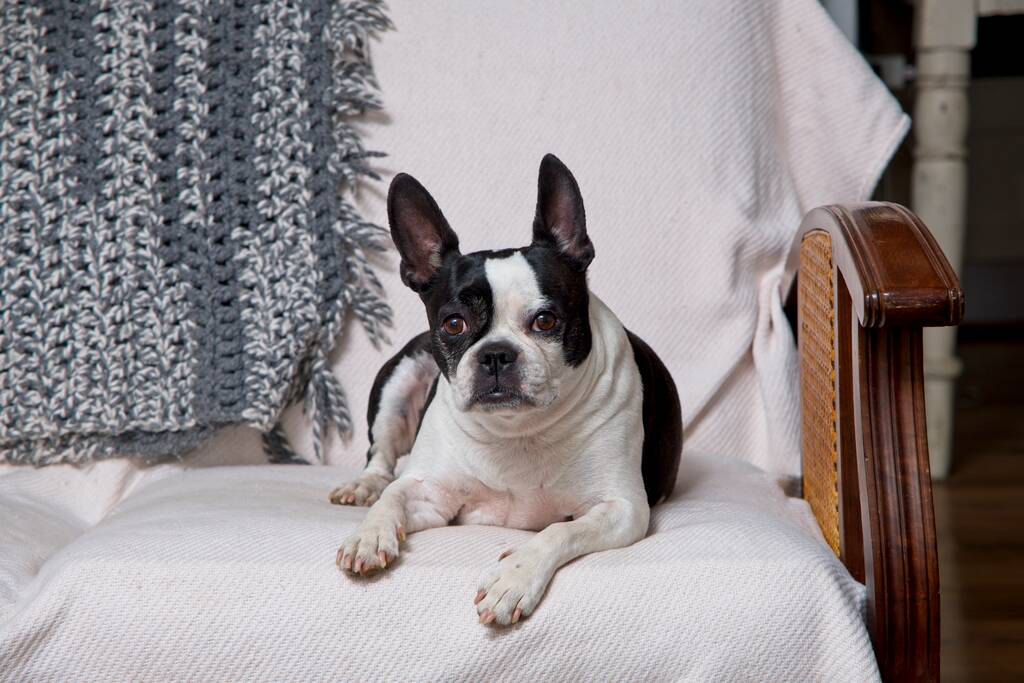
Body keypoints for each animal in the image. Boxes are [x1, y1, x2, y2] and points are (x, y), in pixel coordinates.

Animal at [331, 153, 679, 626]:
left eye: (546, 321)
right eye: (453, 324)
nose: (496, 353)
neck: (518, 430)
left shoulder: (623, 509)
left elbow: (560, 530)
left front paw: (514, 578)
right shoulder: (430, 494)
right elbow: (393, 495)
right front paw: (368, 535)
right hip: (399, 378)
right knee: (381, 459)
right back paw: (362, 486)